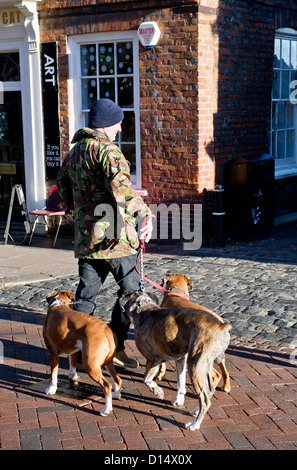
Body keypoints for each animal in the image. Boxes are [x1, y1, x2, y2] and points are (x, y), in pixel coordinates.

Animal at [119, 292, 230, 432]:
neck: (143, 306)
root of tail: (221, 326)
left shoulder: (153, 360)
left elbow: (147, 380)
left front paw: (158, 391)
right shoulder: (180, 359)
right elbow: (180, 383)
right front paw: (179, 399)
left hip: (195, 366)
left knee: (205, 399)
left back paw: (195, 424)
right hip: (203, 365)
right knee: (209, 391)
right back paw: (196, 411)